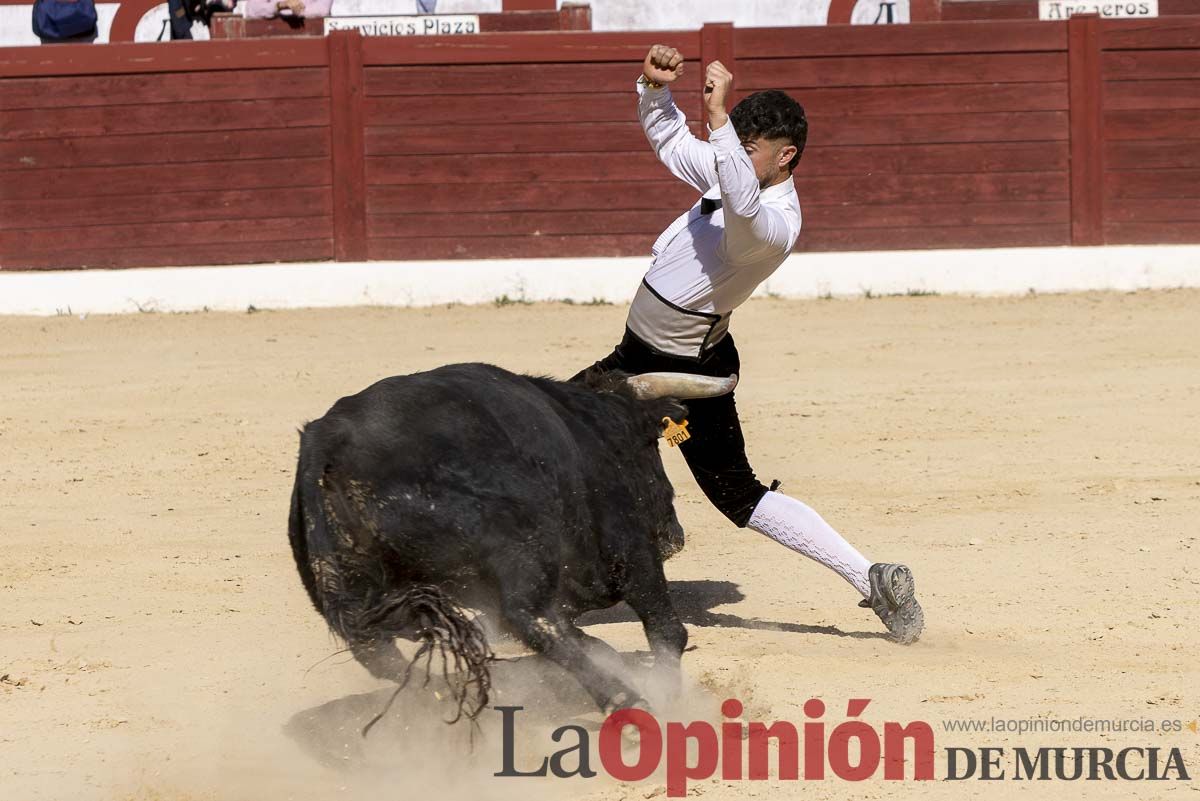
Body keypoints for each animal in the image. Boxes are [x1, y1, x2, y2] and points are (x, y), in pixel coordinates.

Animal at [291, 362, 739, 719]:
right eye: (649, 443)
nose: (672, 536)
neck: (589, 428)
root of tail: (328, 443)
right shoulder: (630, 550)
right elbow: (666, 628)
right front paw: (668, 695)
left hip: (354, 591)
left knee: (377, 652)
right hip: (521, 550)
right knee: (530, 618)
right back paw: (624, 701)